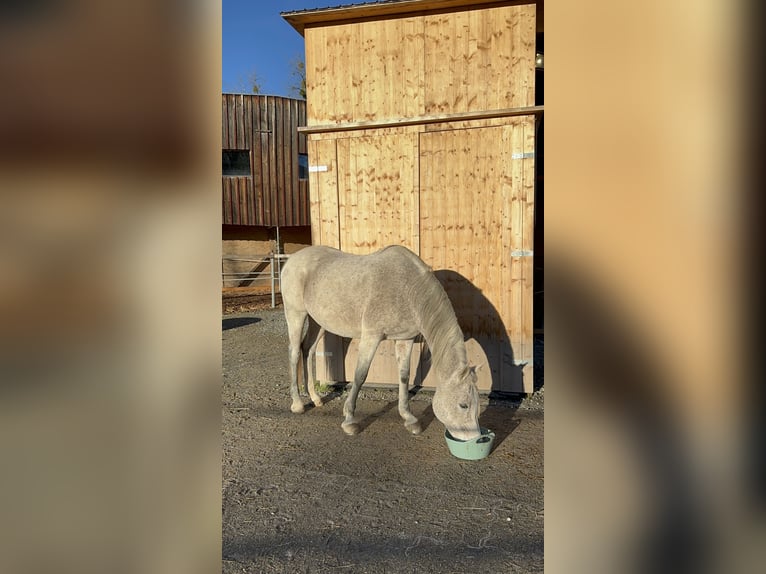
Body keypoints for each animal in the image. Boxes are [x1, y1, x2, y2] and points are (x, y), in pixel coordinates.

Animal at [280, 246, 484, 440]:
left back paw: (315, 398)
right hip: (296, 314)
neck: (408, 288)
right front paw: (349, 421)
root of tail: (292, 260)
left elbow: (404, 376)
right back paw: (297, 404)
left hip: (318, 321)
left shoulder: (405, 339)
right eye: (463, 405)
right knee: (294, 352)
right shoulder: (371, 337)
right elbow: (360, 375)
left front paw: (409, 418)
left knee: (308, 350)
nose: (474, 439)